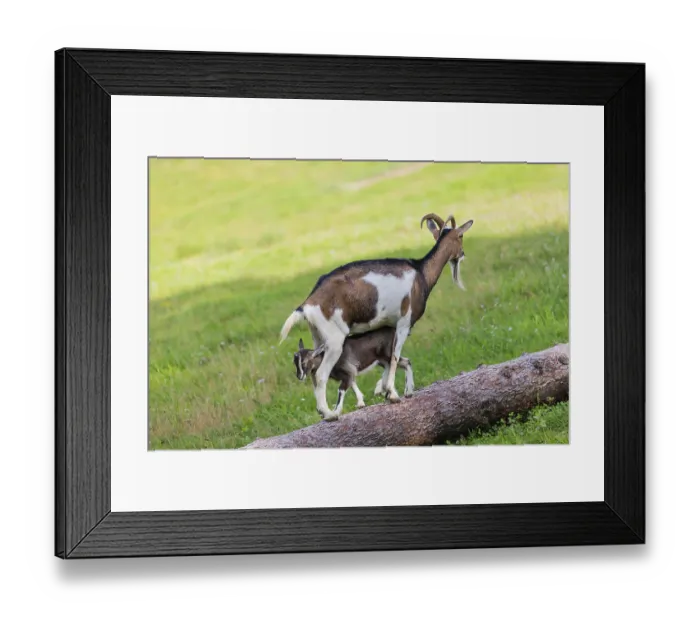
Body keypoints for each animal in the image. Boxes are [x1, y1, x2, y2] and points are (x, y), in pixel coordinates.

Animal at [280, 213, 473, 421]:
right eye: (461, 236)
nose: (463, 254)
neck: (420, 274)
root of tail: (306, 305)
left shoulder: (388, 327)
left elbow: (388, 358)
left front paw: (388, 390)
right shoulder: (404, 323)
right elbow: (394, 356)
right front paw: (392, 393)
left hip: (318, 337)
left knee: (314, 373)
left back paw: (324, 412)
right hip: (334, 340)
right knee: (322, 374)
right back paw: (330, 414)